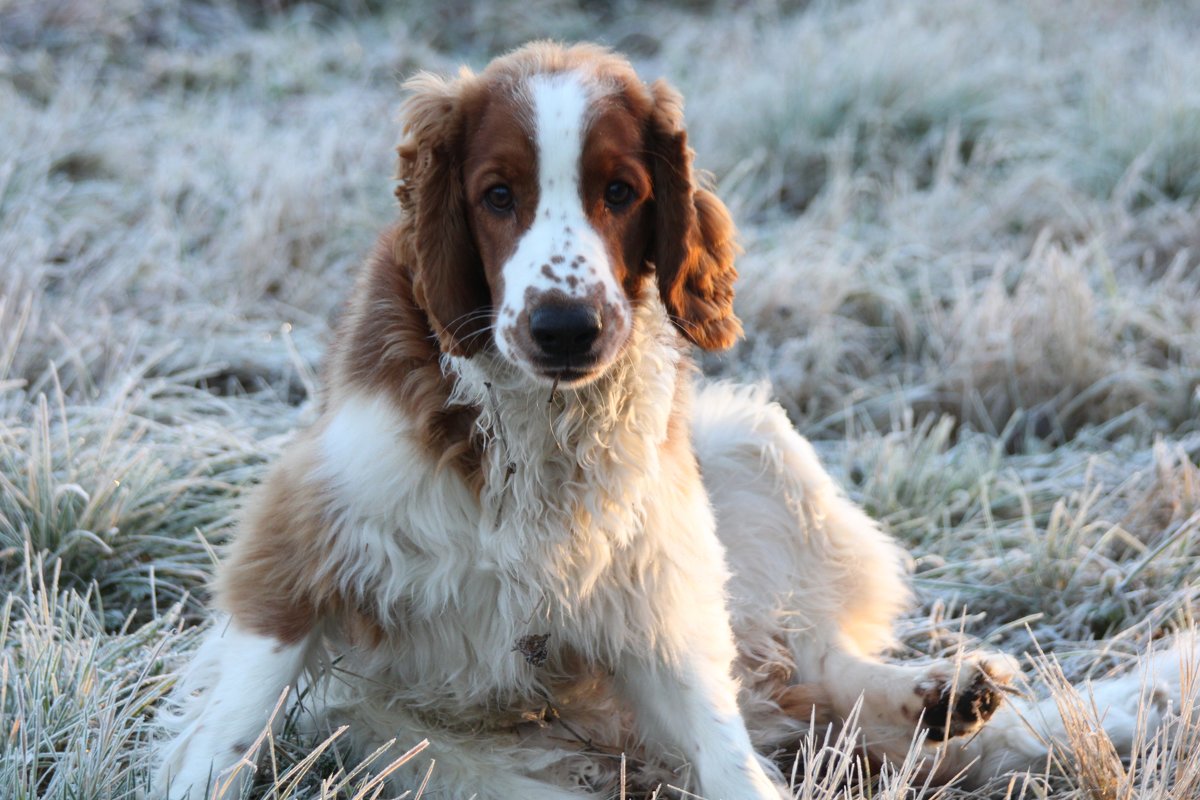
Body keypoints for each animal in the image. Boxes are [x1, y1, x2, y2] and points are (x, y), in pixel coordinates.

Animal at [157, 43, 1190, 800]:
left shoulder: (656, 595)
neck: (535, 420)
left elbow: (726, 740)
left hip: (748, 454)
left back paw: (939, 694)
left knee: (799, 669)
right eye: (498, 195)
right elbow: (228, 729)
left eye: (621, 191)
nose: (565, 326)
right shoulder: (296, 547)